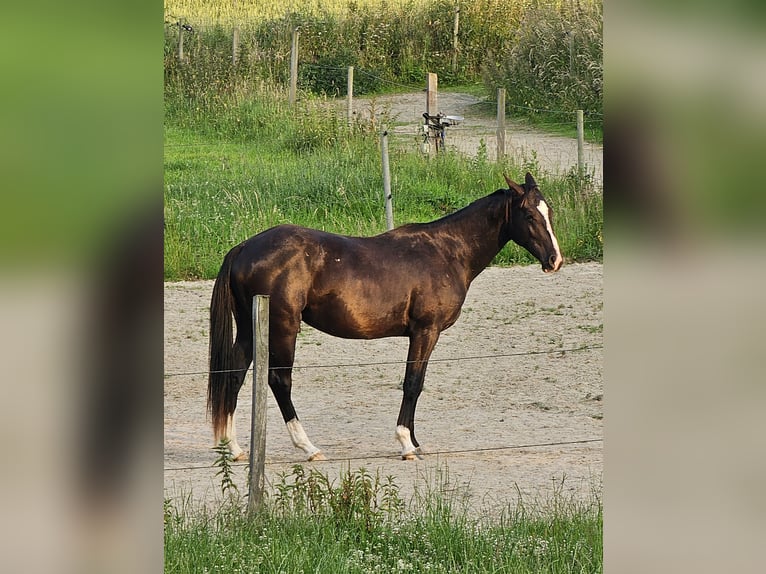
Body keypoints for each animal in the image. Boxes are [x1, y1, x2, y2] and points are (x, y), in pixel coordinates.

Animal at [207, 172, 563, 461]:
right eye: (529, 214)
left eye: (549, 211)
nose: (554, 260)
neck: (447, 252)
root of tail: (244, 248)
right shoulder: (425, 331)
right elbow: (413, 383)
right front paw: (406, 443)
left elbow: (417, 383)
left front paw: (416, 442)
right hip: (283, 327)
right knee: (280, 381)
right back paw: (308, 447)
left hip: (252, 328)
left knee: (234, 375)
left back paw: (234, 448)